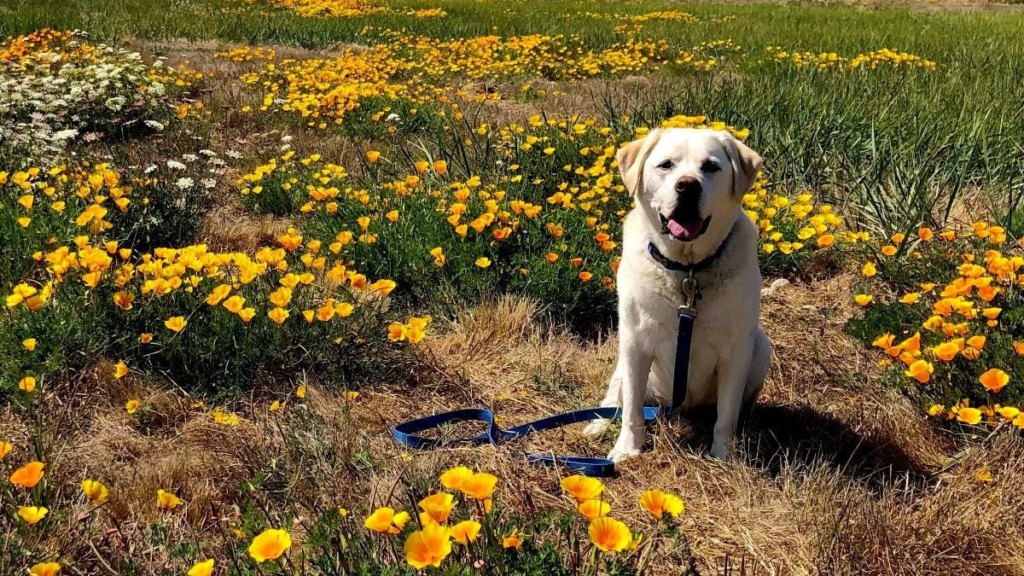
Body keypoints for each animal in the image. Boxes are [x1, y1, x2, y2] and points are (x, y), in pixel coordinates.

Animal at [581, 127, 770, 459]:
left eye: (710, 166)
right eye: (666, 165)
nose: (688, 185)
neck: (688, 270)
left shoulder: (736, 350)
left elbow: (727, 414)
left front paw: (723, 455)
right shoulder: (635, 341)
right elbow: (632, 408)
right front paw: (628, 448)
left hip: (761, 347)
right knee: (616, 395)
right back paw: (598, 423)